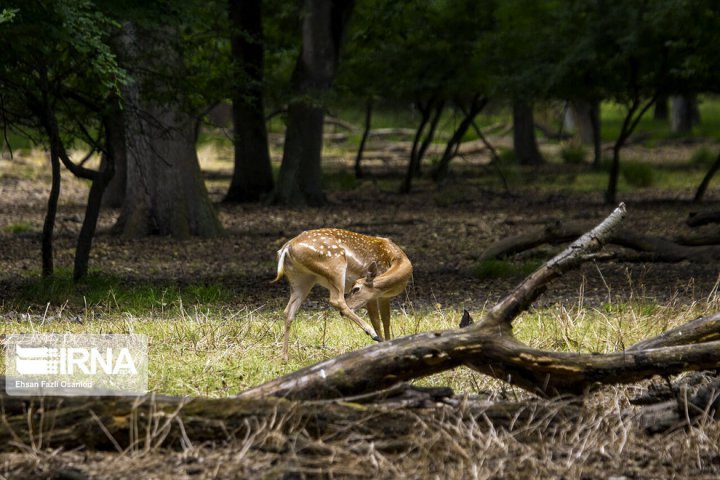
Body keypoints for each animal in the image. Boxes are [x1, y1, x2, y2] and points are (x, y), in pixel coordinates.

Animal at [272, 229, 414, 360]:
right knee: (336, 300)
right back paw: (371, 333)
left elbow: (386, 320)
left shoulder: (384, 297)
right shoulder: (373, 297)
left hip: (301, 279)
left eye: (355, 289)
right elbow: (377, 321)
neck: (397, 259)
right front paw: (381, 345)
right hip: (335, 266)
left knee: (288, 311)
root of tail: (287, 247)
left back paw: (284, 357)